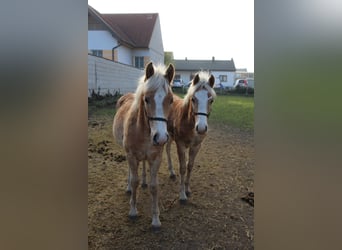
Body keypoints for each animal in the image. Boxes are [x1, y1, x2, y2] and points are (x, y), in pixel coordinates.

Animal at [113, 62, 175, 229]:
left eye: (171, 100)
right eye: (146, 99)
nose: (160, 137)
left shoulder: (156, 157)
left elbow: (154, 187)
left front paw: (155, 219)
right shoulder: (131, 156)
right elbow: (134, 181)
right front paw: (133, 210)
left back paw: (144, 182)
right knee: (131, 173)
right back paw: (129, 187)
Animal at [165, 72, 214, 203]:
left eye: (211, 100)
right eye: (193, 99)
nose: (201, 128)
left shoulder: (196, 146)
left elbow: (190, 166)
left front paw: (187, 189)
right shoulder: (180, 145)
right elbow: (182, 167)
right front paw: (182, 195)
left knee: (167, 149)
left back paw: (171, 172)